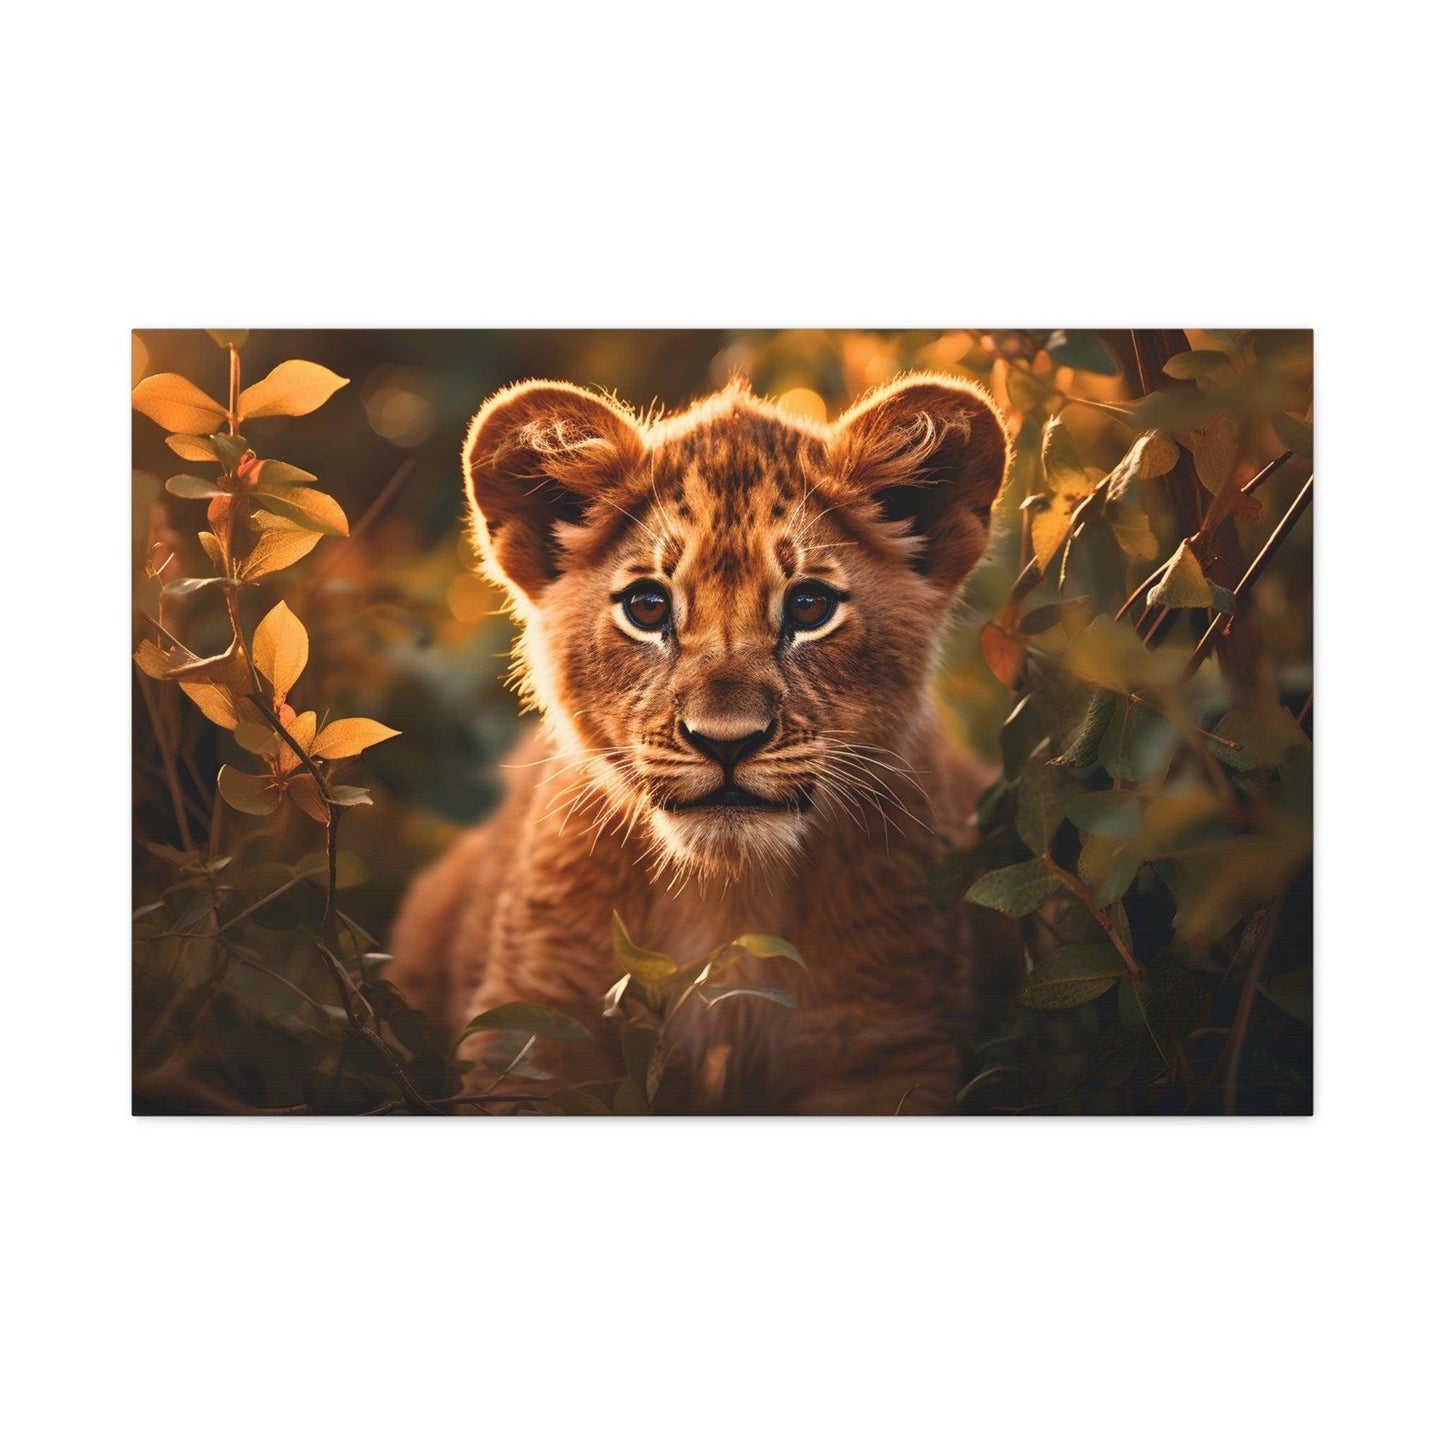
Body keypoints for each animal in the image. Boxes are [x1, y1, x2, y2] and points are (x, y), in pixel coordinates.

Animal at [387, 371, 1021, 1113]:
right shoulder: (533, 1033)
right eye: (647, 607)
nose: (726, 742)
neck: (728, 897)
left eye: (809, 607)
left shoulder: (887, 1045)